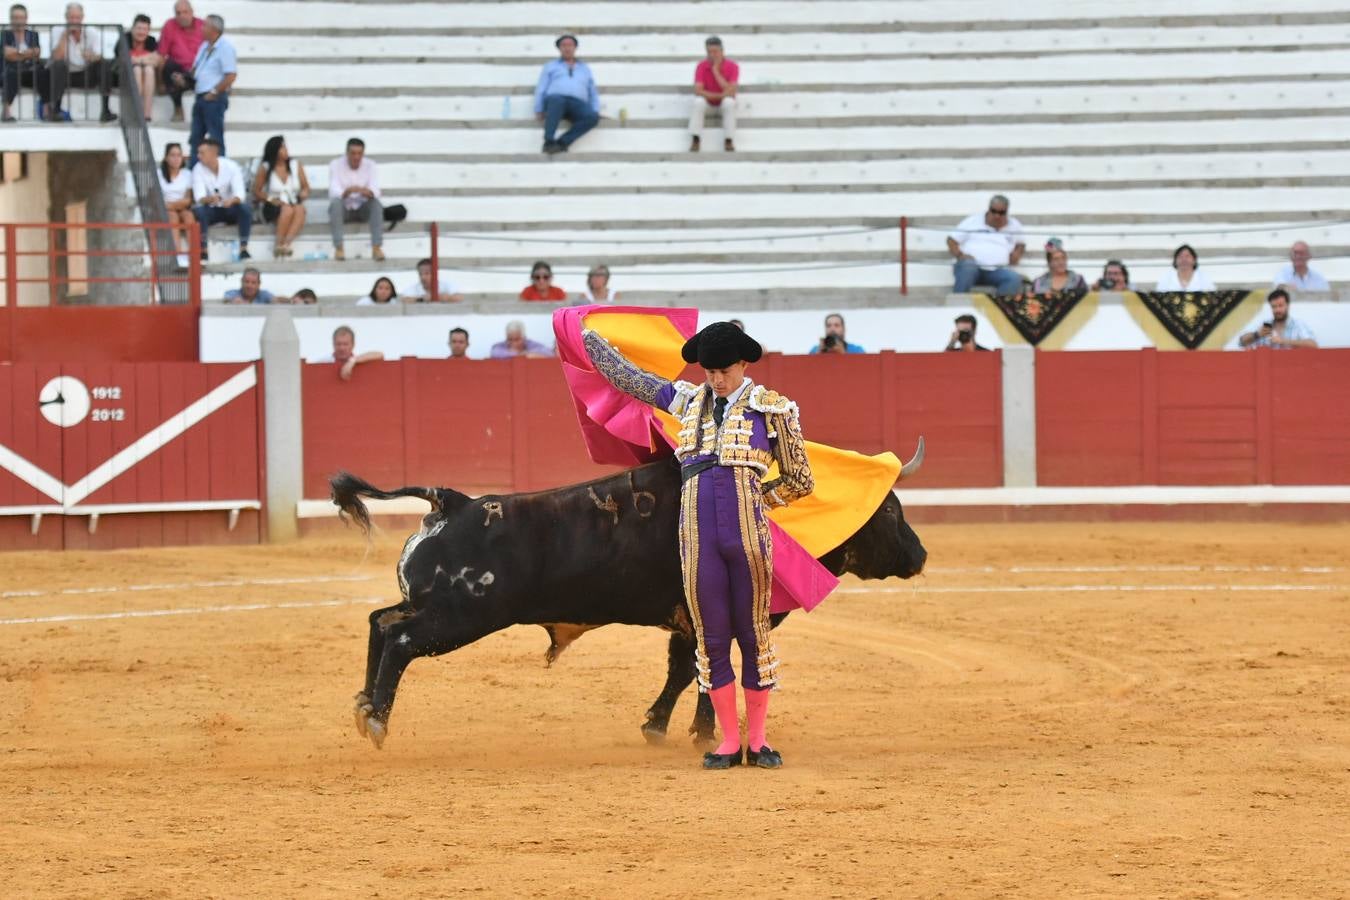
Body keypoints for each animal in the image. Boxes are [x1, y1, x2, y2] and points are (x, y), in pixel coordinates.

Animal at [336, 450, 928, 755]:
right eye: (890, 511)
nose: (921, 554)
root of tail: (453, 502)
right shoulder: (712, 615)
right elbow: (705, 669)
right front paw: (700, 733)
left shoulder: (687, 621)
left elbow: (687, 670)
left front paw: (663, 727)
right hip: (462, 617)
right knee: (401, 639)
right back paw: (378, 722)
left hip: (435, 608)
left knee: (380, 621)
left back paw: (363, 706)